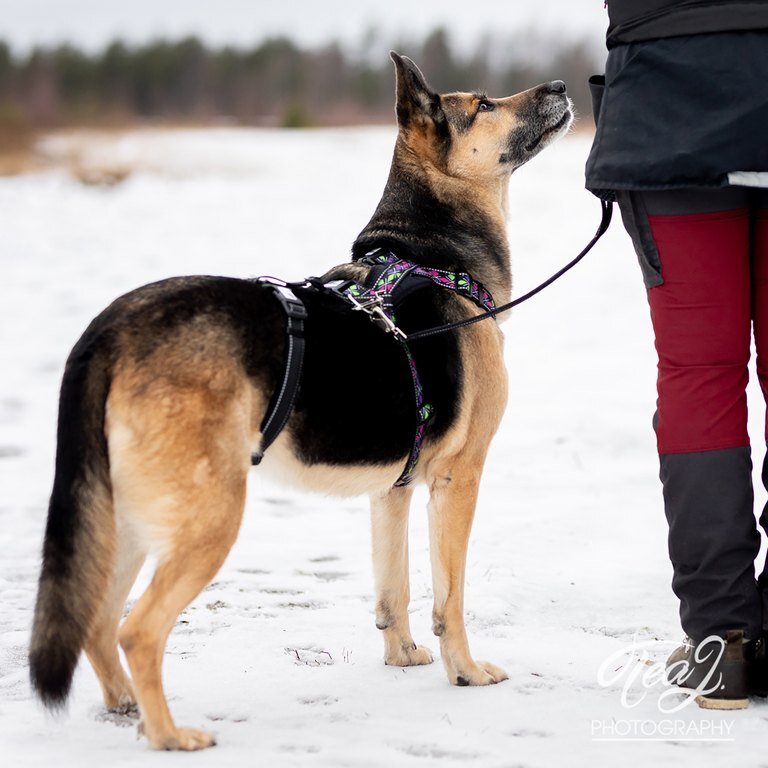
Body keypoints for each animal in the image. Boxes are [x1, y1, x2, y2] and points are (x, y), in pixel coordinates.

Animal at [28, 54, 568, 752]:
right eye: (482, 105)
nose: (562, 86)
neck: (430, 253)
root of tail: (110, 330)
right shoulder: (459, 478)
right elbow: (449, 598)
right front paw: (466, 673)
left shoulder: (393, 490)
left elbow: (393, 588)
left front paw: (402, 657)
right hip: (207, 517)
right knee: (137, 629)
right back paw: (170, 734)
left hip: (124, 517)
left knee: (99, 623)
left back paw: (128, 710)